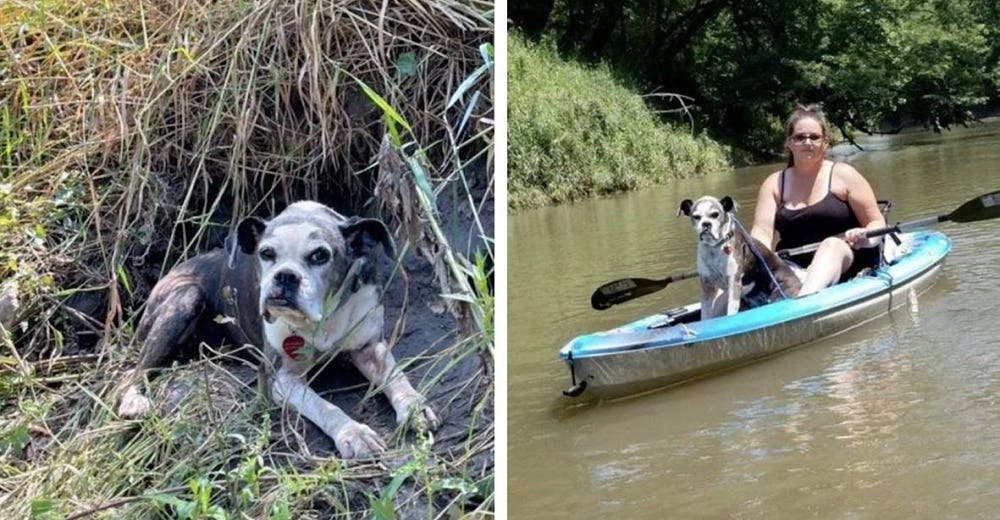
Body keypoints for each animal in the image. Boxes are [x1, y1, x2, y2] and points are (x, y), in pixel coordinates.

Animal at [115, 201, 436, 458]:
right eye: (266, 253)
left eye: (320, 255)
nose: (285, 276)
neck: (324, 316)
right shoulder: (282, 379)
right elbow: (324, 407)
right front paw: (353, 433)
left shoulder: (370, 347)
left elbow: (396, 377)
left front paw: (414, 407)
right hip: (185, 298)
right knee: (131, 373)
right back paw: (134, 401)